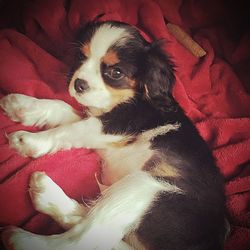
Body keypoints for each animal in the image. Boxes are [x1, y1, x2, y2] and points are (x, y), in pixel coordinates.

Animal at [0, 21, 227, 250]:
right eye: (81, 56)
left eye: (116, 72)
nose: (78, 84)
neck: (123, 100)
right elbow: (64, 109)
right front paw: (23, 106)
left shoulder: (119, 124)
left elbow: (72, 129)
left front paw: (29, 140)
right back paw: (47, 195)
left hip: (148, 186)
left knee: (83, 238)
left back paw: (21, 238)